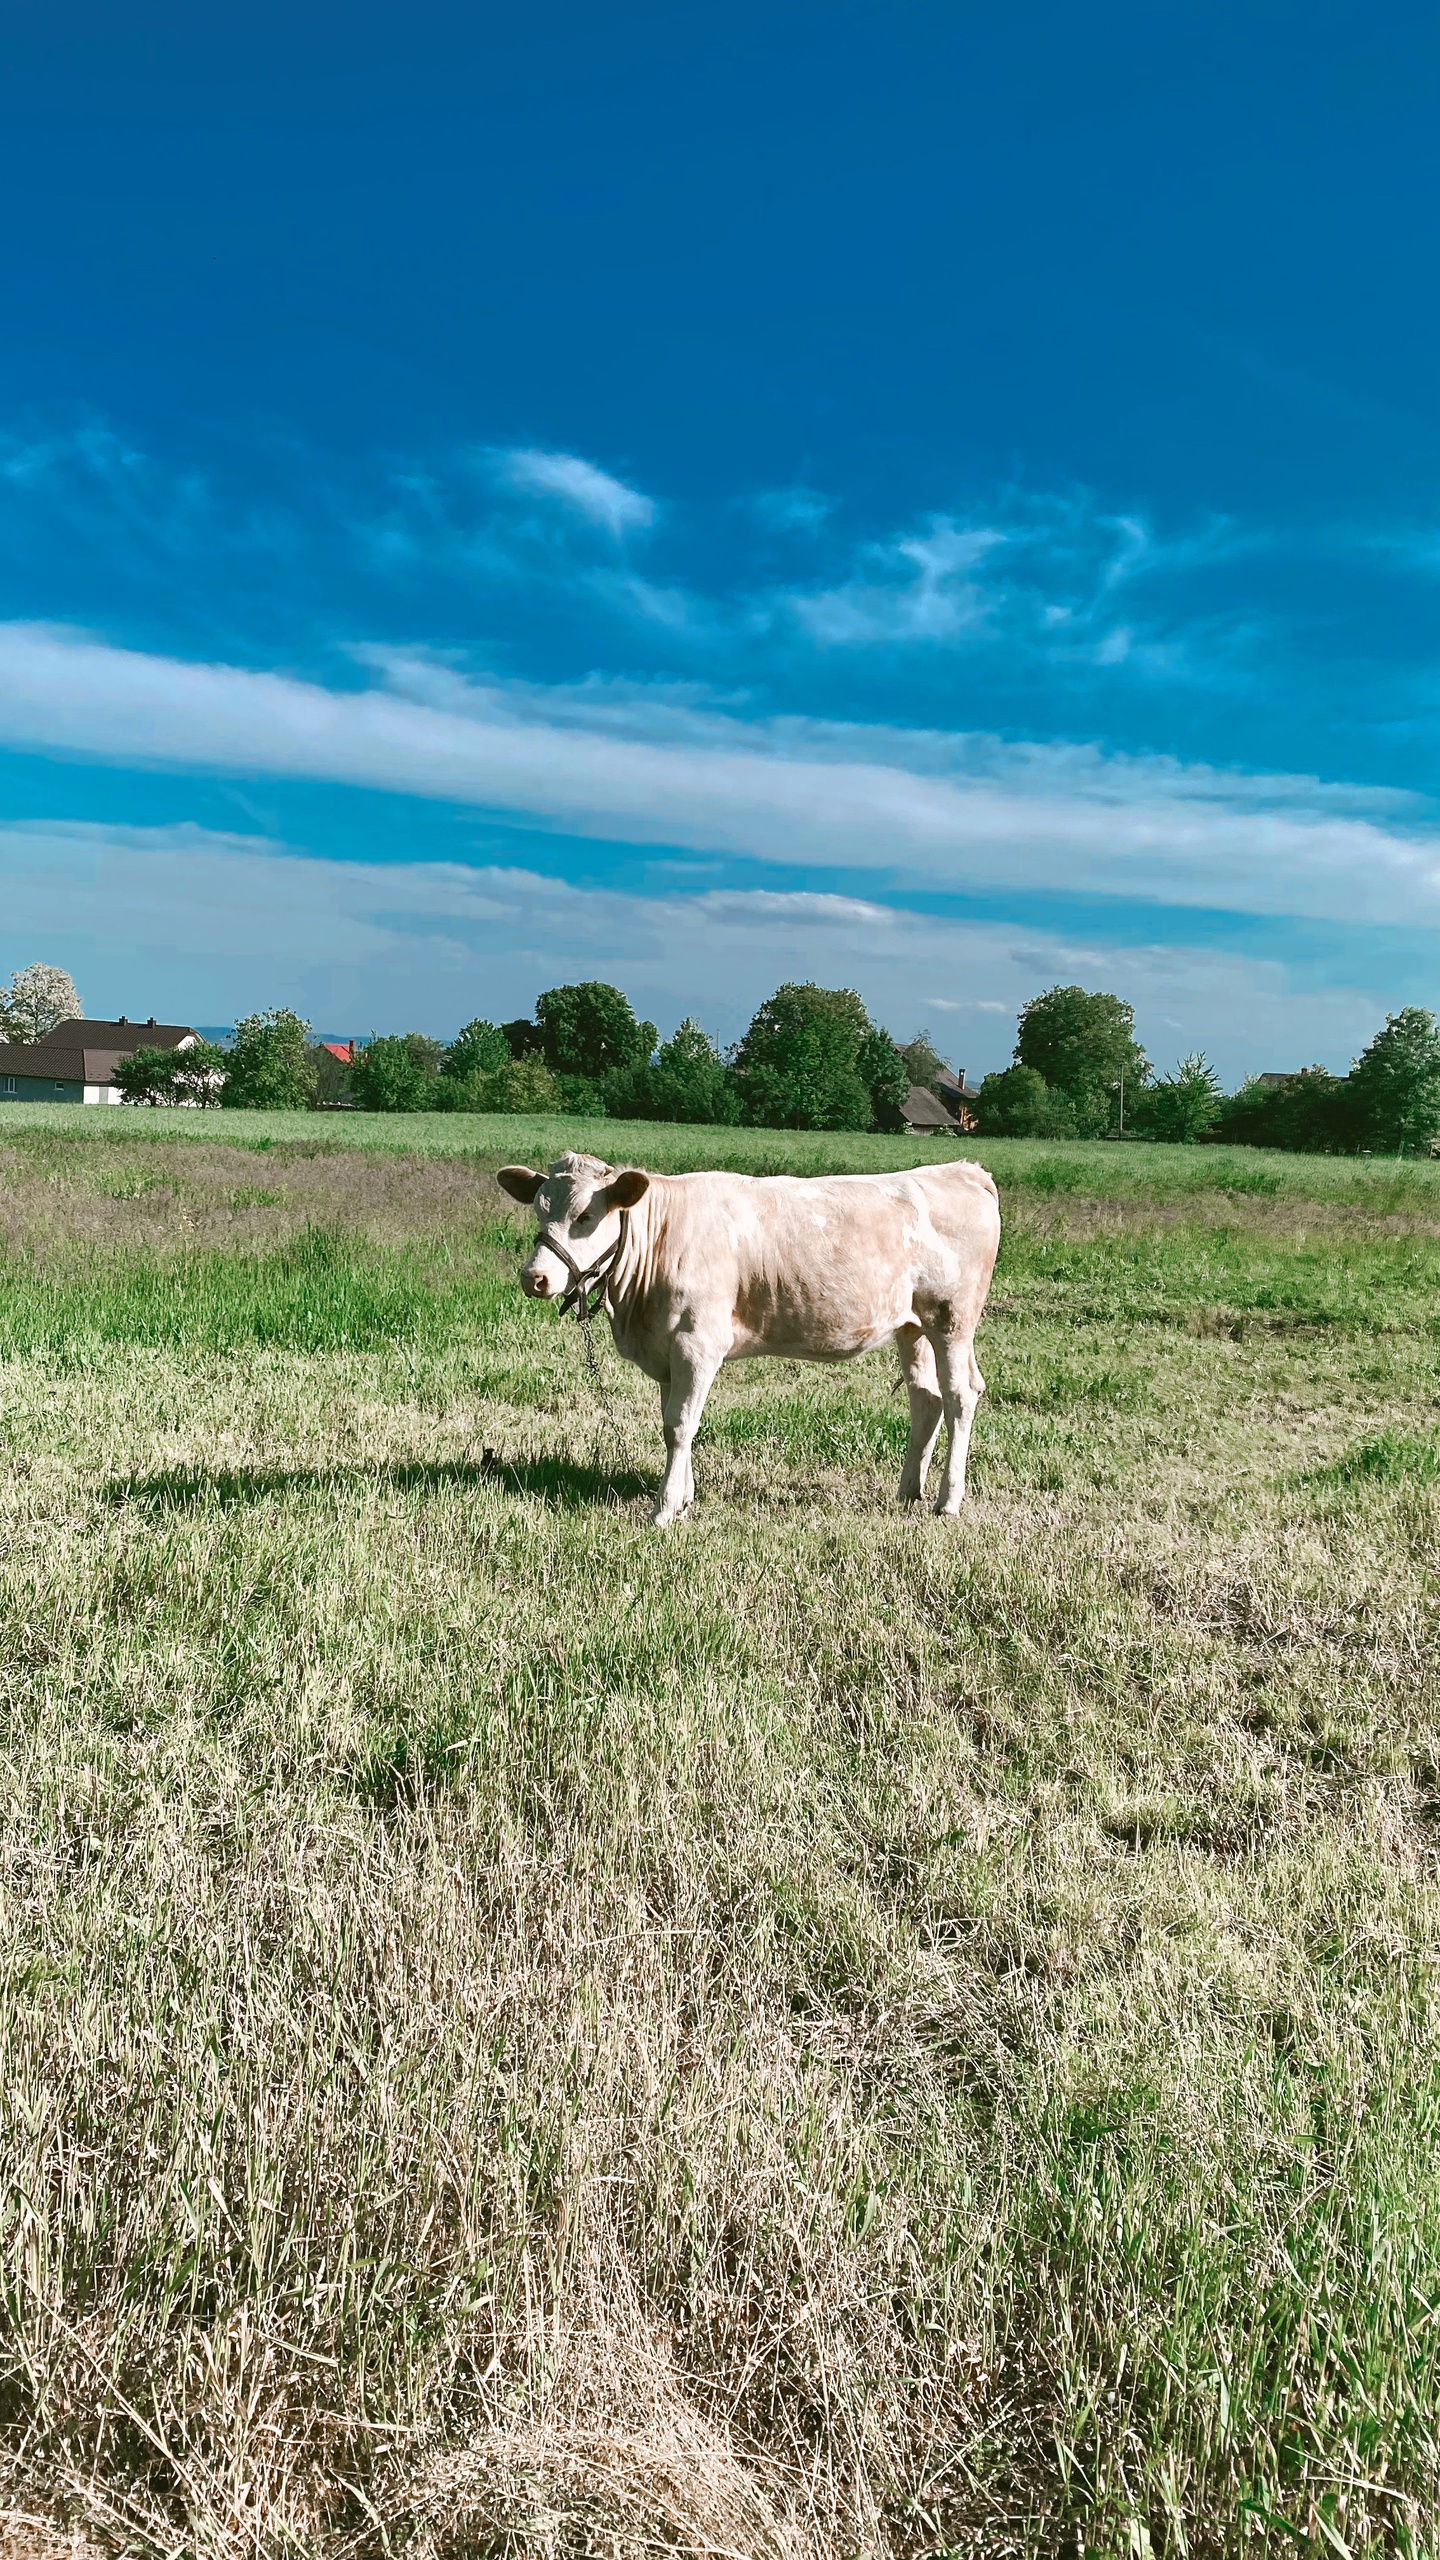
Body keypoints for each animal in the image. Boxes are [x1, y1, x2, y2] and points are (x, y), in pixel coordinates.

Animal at [491, 1157, 999, 1525]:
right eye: (539, 1208)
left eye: (587, 1215)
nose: (534, 1277)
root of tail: (962, 1170)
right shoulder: (667, 1349)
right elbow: (674, 1421)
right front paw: (685, 1497)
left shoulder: (697, 1342)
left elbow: (679, 1425)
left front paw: (663, 1509)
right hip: (912, 1326)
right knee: (926, 1398)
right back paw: (908, 1491)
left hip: (953, 1320)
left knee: (960, 1396)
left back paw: (948, 1501)